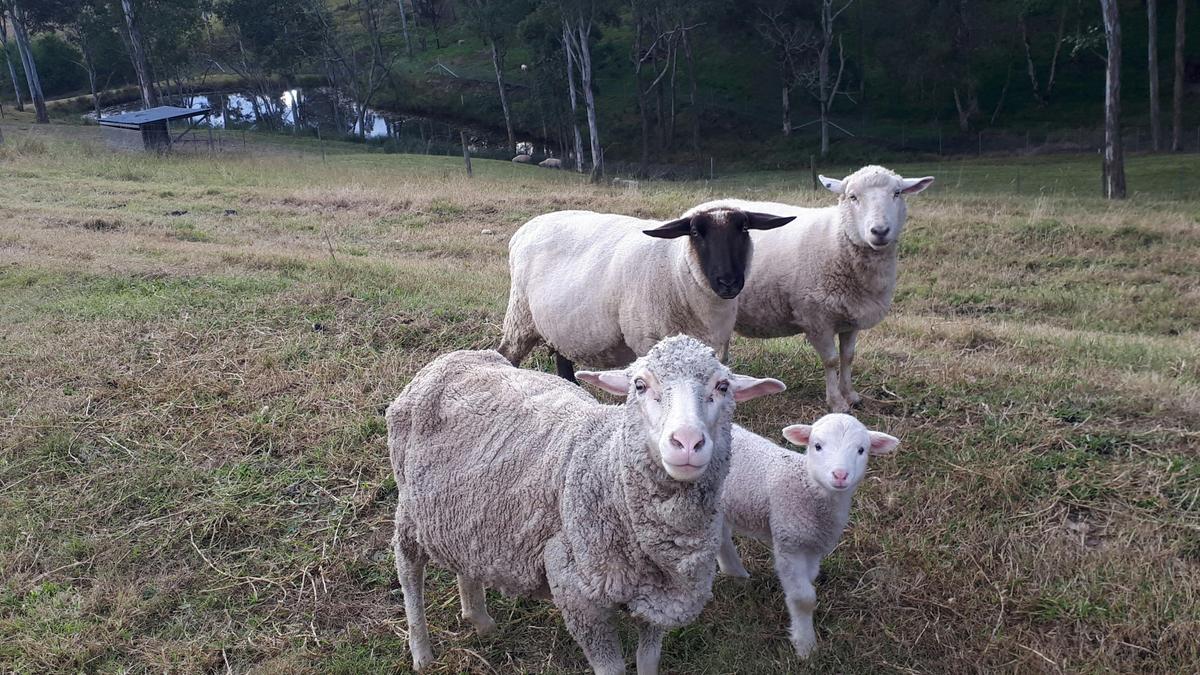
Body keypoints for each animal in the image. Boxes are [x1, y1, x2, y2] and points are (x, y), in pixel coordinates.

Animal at [387, 335, 786, 673]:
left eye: (723, 386)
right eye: (639, 385)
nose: (687, 442)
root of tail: (452, 357)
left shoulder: (659, 599)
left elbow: (648, 660)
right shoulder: (576, 594)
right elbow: (612, 668)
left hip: (462, 512)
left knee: (464, 560)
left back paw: (480, 621)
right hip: (409, 511)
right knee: (408, 573)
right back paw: (422, 653)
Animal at [498, 207, 795, 380]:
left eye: (744, 228)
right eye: (695, 232)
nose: (728, 282)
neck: (679, 271)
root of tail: (525, 229)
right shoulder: (646, 339)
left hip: (563, 325)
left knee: (563, 358)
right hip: (520, 317)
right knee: (506, 354)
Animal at [686, 165, 934, 412]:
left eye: (897, 193)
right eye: (852, 197)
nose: (880, 231)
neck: (837, 238)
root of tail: (700, 207)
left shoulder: (850, 317)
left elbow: (848, 356)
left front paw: (850, 395)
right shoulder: (816, 318)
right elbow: (831, 360)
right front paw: (837, 402)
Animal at [717, 413, 900, 659]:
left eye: (861, 450)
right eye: (817, 446)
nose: (840, 475)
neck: (806, 486)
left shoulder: (813, 545)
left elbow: (810, 579)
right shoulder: (789, 541)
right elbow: (803, 599)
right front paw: (806, 647)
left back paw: (736, 574)